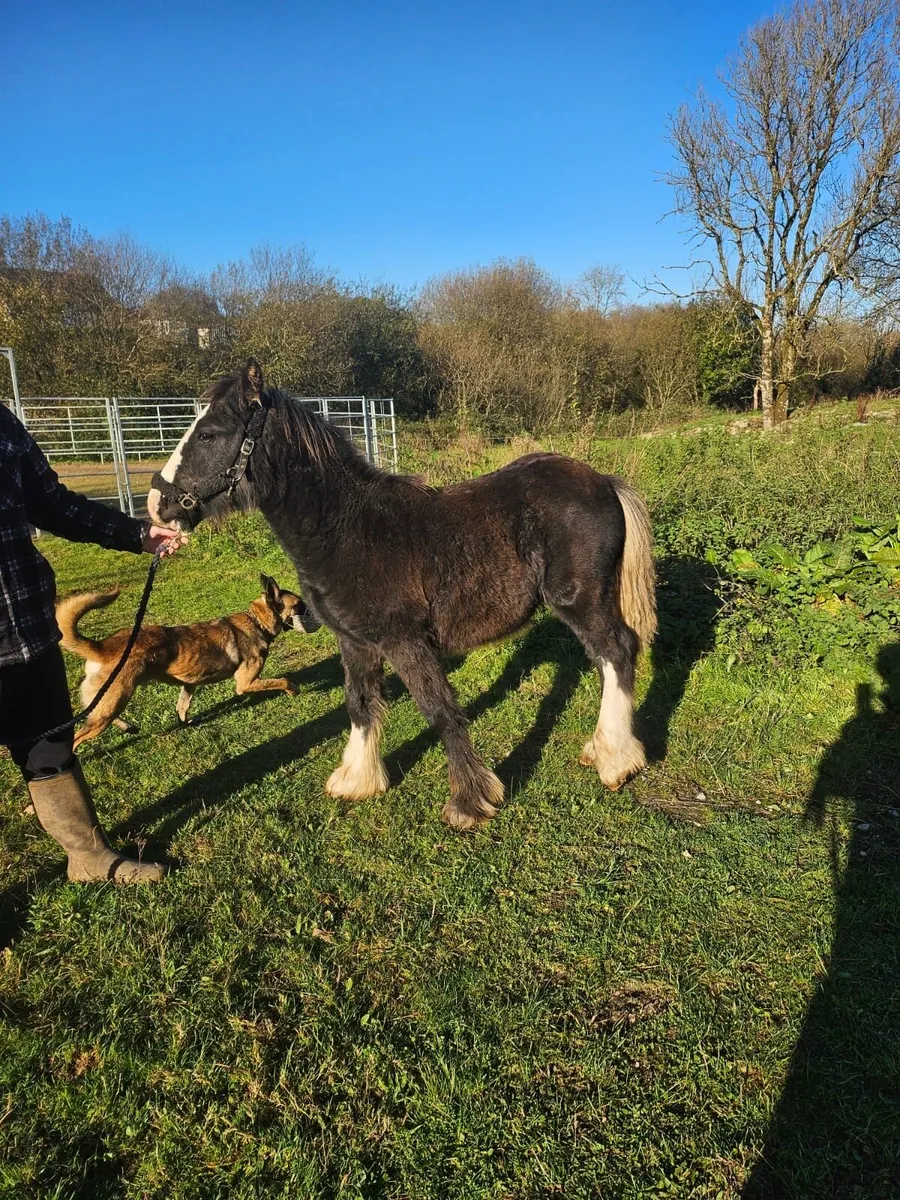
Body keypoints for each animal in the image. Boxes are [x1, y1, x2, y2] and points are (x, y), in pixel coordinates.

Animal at [148, 359, 657, 830]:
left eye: (209, 434)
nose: (159, 504)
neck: (345, 529)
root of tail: (604, 482)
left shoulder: (405, 641)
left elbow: (441, 711)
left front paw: (469, 802)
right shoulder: (354, 641)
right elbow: (359, 704)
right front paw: (357, 780)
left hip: (580, 600)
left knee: (617, 652)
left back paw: (617, 761)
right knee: (607, 660)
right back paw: (603, 749)